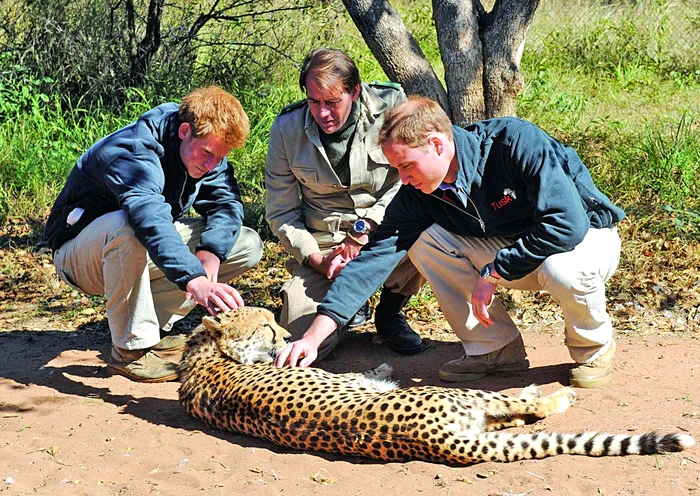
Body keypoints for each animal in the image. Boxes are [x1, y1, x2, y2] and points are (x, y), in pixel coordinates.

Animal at [178, 307, 695, 465]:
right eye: (266, 326)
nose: (286, 334)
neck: (202, 356)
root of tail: (433, 439)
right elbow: (364, 375)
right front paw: (382, 368)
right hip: (467, 400)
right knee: (518, 407)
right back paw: (552, 393)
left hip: (476, 423)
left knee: (510, 418)